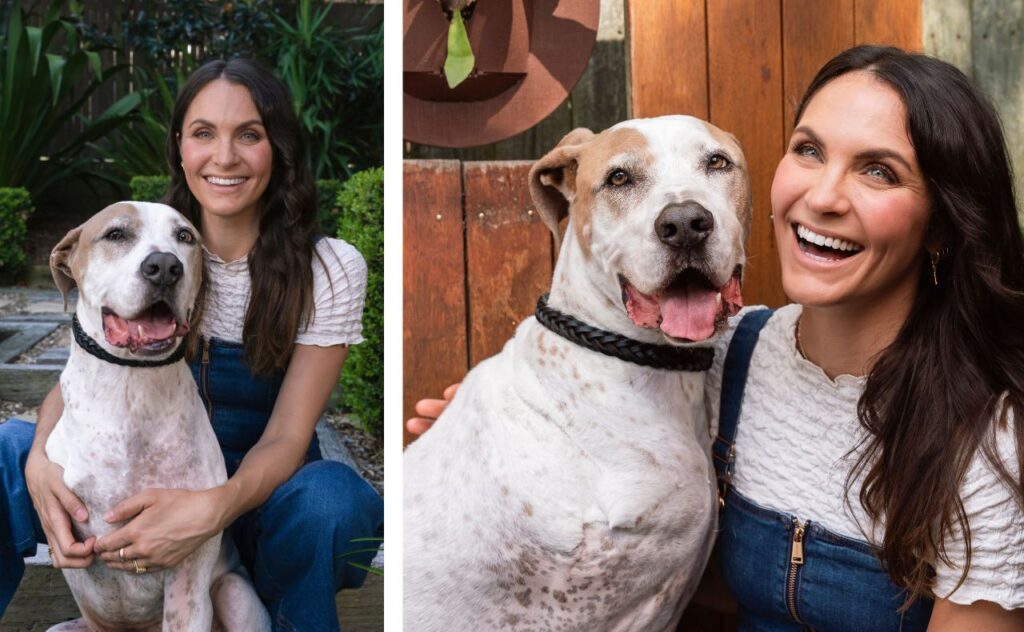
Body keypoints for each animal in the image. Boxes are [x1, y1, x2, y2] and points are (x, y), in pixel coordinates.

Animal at [43, 201, 270, 630]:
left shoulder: (188, 573)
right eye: (116, 234)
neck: (131, 384)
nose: (164, 266)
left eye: (185, 236)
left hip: (234, 594)